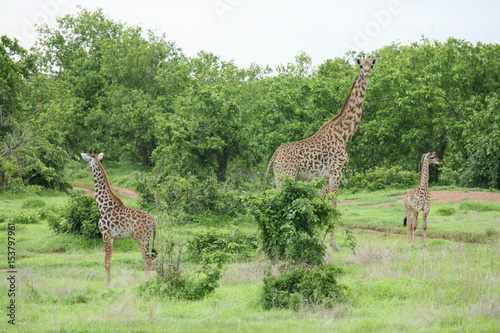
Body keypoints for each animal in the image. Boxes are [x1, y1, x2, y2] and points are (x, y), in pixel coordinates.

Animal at [80, 152, 156, 286]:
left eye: (87, 161)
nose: (87, 168)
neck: (103, 206)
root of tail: (154, 222)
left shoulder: (106, 234)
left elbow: (107, 263)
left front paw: (108, 285)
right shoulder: (111, 237)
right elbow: (109, 261)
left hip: (141, 237)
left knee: (146, 259)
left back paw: (145, 283)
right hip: (147, 238)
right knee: (149, 258)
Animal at [264, 55, 376, 250]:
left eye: (372, 65)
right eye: (361, 65)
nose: (367, 72)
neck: (344, 135)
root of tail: (274, 155)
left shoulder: (325, 176)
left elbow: (319, 202)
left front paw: (315, 237)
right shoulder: (336, 171)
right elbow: (333, 203)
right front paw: (333, 244)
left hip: (280, 176)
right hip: (287, 175)